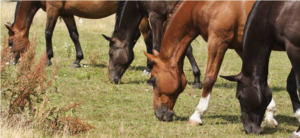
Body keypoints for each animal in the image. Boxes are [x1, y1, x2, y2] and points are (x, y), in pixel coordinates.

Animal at [6, 0, 152, 68]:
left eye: (10, 42)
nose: (12, 62)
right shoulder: (66, 13)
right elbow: (74, 35)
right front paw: (77, 60)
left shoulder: (53, 10)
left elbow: (48, 33)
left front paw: (48, 59)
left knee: (148, 37)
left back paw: (148, 68)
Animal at [143, 0, 278, 125]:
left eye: (153, 80)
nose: (158, 113)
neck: (206, 5)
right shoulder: (241, 47)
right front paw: (270, 112)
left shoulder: (217, 41)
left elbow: (209, 78)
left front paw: (197, 115)